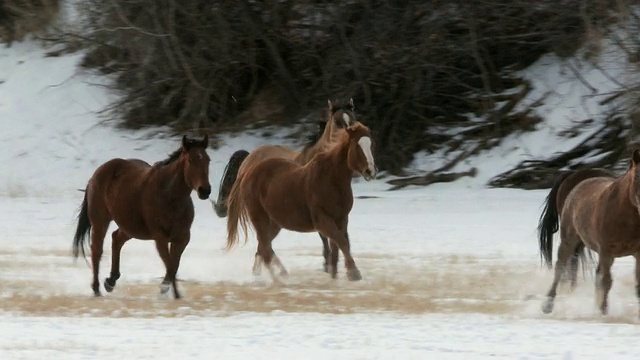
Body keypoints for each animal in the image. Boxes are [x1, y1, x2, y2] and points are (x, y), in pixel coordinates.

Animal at [73, 135, 211, 298]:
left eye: (208, 160)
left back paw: (110, 281)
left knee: (116, 239)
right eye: (190, 160)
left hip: (130, 227)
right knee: (97, 250)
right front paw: (171, 293)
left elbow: (174, 265)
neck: (170, 196)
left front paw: (168, 291)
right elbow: (170, 266)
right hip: (100, 221)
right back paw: (96, 288)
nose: (205, 191)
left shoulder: (182, 238)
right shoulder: (160, 237)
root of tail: (95, 176)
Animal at [225, 122, 378, 282]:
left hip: (274, 223)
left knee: (263, 246)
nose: (370, 171)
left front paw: (335, 276)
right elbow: (341, 242)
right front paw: (354, 273)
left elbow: (340, 246)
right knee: (265, 249)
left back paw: (270, 274)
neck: (331, 179)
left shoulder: (341, 219)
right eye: (357, 145)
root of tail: (247, 172)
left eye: (372, 144)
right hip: (259, 218)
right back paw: (277, 279)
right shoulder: (323, 221)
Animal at [536, 150, 640, 316]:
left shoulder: (638, 253)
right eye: (636, 176)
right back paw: (548, 305)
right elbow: (606, 281)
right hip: (569, 240)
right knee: (561, 267)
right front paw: (603, 313)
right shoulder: (606, 252)